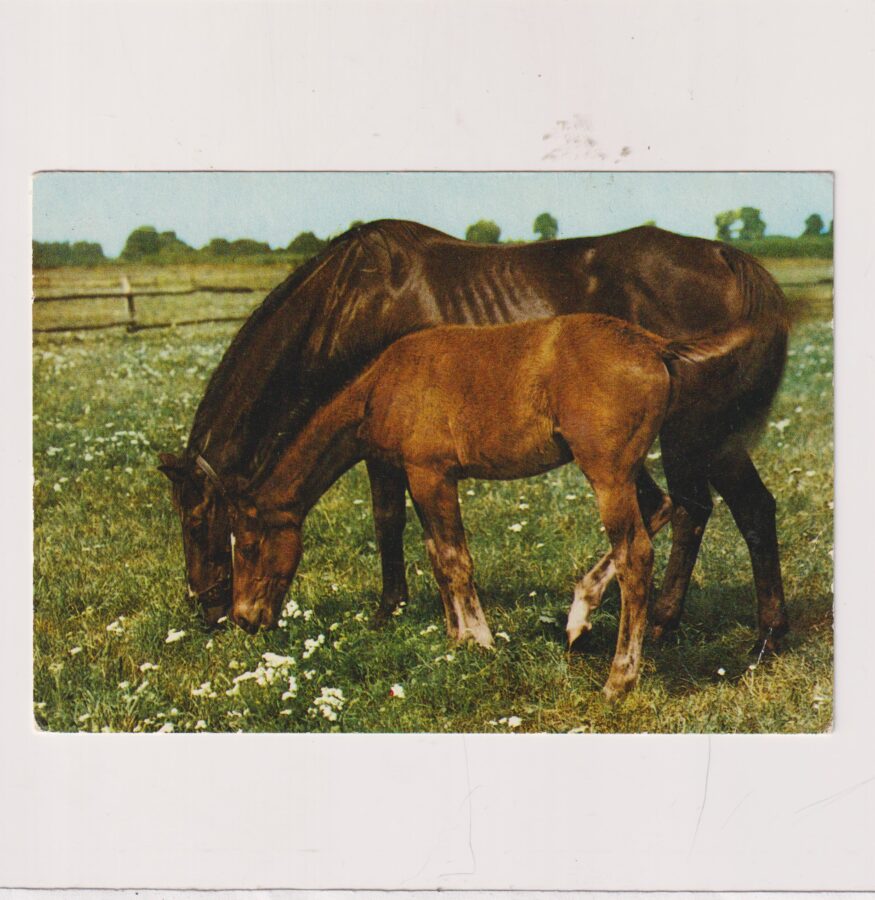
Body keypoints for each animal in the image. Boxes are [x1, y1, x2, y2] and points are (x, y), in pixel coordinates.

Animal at [158, 220, 789, 649]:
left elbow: (389, 521)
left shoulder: (389, 449)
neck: (349, 299)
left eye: (200, 521)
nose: (210, 611)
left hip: (697, 433)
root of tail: (729, 258)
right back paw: (719, 630)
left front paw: (391, 611)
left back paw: (724, 632)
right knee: (721, 509)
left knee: (717, 510)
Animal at [224, 313, 757, 699]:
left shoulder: (431, 474)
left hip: (606, 474)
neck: (382, 384)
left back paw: (618, 679)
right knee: (661, 507)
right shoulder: (420, 478)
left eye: (248, 546)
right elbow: (437, 556)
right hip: (623, 470)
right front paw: (455, 638)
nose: (244, 619)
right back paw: (579, 616)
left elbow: (455, 559)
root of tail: (652, 344)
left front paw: (479, 640)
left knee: (636, 555)